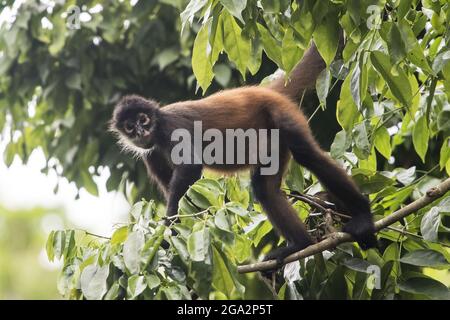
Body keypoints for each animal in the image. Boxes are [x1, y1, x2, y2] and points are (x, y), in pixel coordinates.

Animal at [110, 42, 378, 264]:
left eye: (143, 119)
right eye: (129, 126)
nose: (140, 131)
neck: (157, 128)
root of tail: (267, 91)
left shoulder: (171, 127)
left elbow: (191, 168)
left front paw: (169, 231)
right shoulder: (150, 152)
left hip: (281, 113)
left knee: (307, 156)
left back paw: (362, 215)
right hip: (273, 138)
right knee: (265, 189)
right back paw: (300, 245)